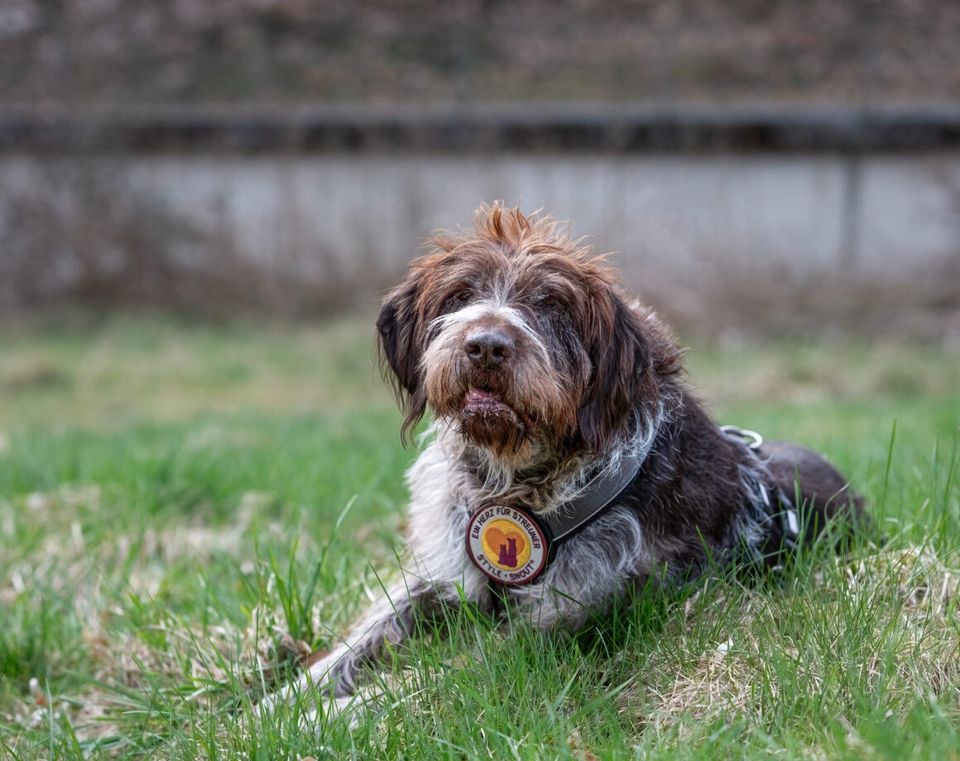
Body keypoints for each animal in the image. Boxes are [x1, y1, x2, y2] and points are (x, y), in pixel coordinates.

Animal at [258, 203, 868, 720]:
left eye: (551, 304)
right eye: (460, 294)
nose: (485, 346)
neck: (518, 483)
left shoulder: (550, 627)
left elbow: (434, 677)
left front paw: (325, 719)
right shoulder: (442, 575)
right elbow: (353, 645)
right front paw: (272, 706)